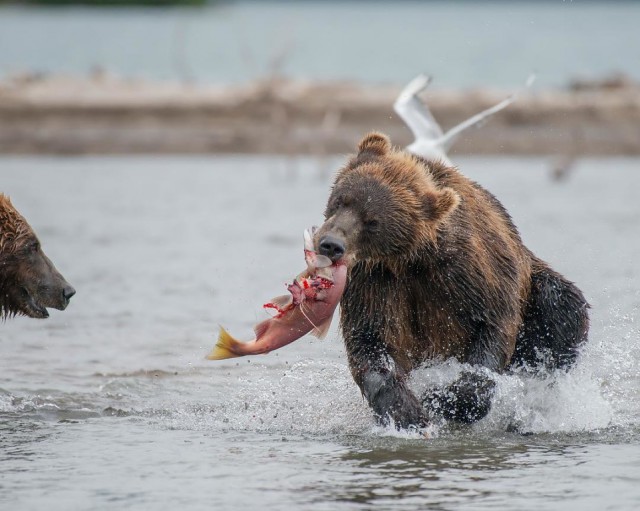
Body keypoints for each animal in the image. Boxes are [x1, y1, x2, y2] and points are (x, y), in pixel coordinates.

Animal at [316, 134, 592, 430]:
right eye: (340, 201)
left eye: (372, 221)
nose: (331, 244)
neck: (413, 259)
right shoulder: (374, 281)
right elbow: (371, 340)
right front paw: (406, 412)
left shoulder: (468, 273)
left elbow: (492, 328)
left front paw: (444, 400)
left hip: (534, 290)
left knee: (561, 307)